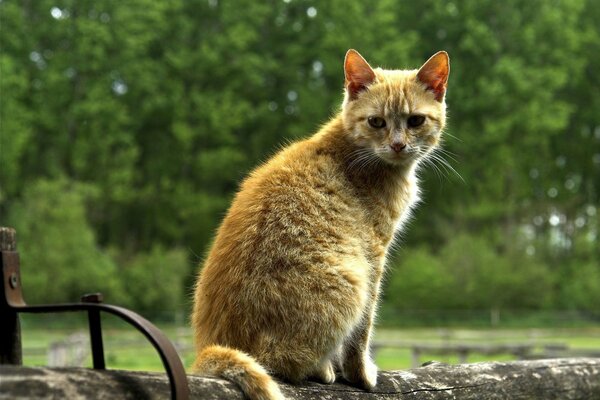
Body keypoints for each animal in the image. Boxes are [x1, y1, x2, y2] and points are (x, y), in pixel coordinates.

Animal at [192, 48, 450, 398]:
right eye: (376, 122)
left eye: (415, 121)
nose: (398, 145)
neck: (354, 152)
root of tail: (209, 347)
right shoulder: (373, 255)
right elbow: (362, 332)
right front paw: (360, 375)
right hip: (352, 280)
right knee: (283, 364)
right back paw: (322, 368)